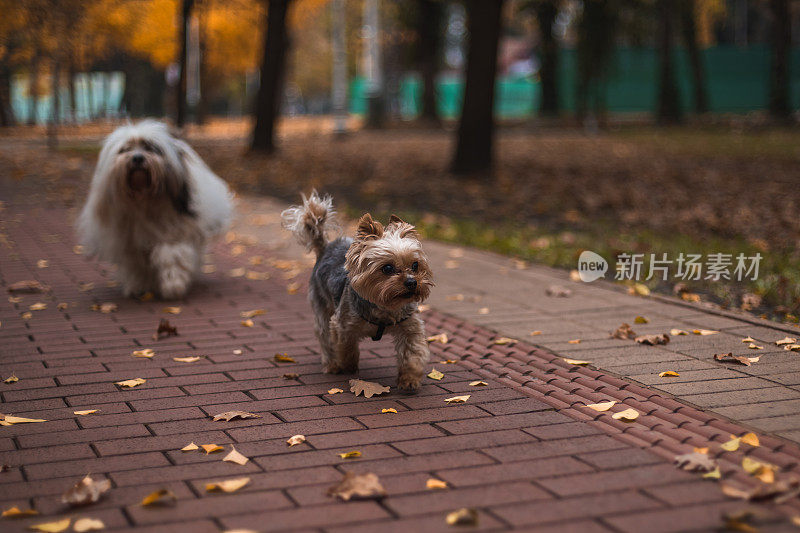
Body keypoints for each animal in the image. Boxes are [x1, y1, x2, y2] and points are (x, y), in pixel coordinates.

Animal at [78, 119, 233, 300]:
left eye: (150, 148)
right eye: (125, 149)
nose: (137, 158)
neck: (144, 200)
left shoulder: (175, 231)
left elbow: (171, 255)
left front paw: (173, 285)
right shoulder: (130, 242)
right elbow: (136, 264)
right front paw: (140, 286)